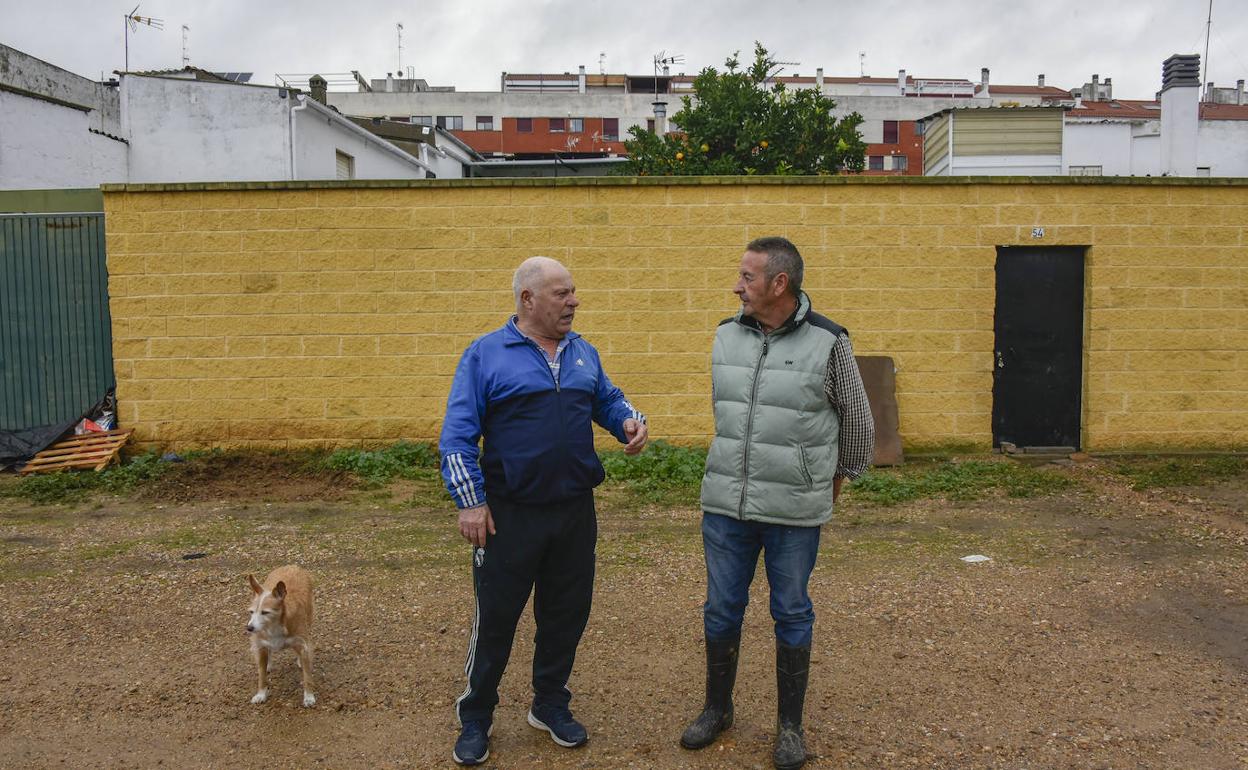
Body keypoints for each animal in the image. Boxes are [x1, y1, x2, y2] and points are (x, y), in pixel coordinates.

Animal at [247, 561, 316, 703]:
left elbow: (307, 676)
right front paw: (261, 694)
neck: (274, 626)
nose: (249, 628)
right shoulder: (260, 646)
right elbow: (261, 676)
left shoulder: (303, 645)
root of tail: (292, 566)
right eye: (251, 612)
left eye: (265, 612)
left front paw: (309, 696)